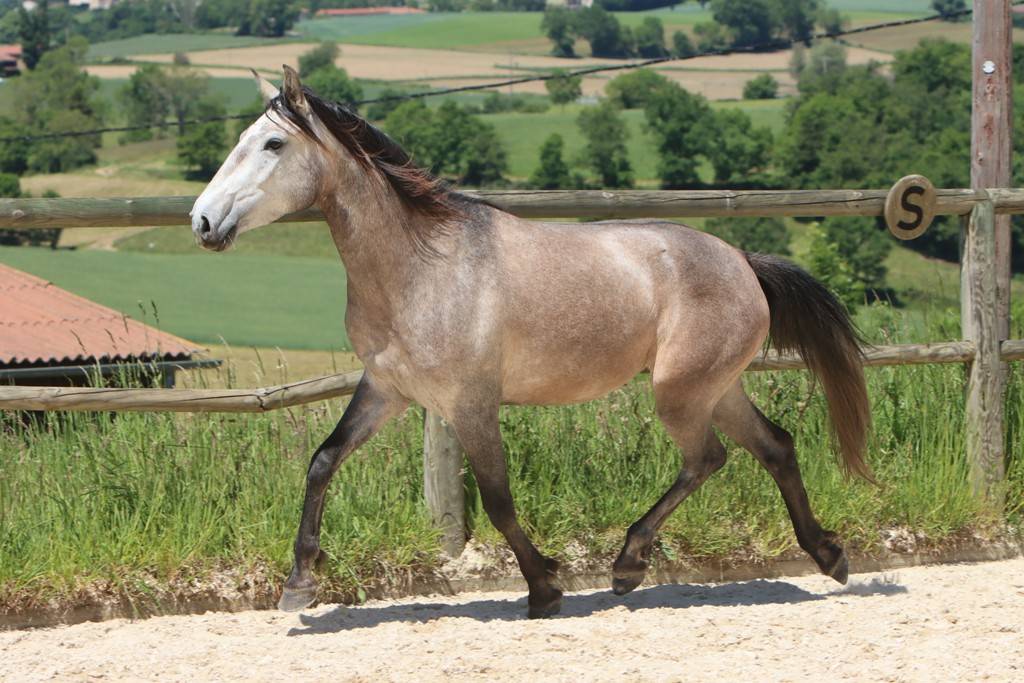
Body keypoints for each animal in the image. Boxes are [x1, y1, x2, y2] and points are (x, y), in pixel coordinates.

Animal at [190, 66, 871, 619]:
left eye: (273, 143)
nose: (202, 221)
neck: (420, 266)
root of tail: (742, 261)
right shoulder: (386, 390)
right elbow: (323, 462)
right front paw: (299, 583)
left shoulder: (470, 404)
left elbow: (497, 501)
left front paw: (545, 588)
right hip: (714, 387)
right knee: (774, 446)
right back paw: (828, 555)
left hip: (680, 391)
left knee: (708, 458)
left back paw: (629, 564)